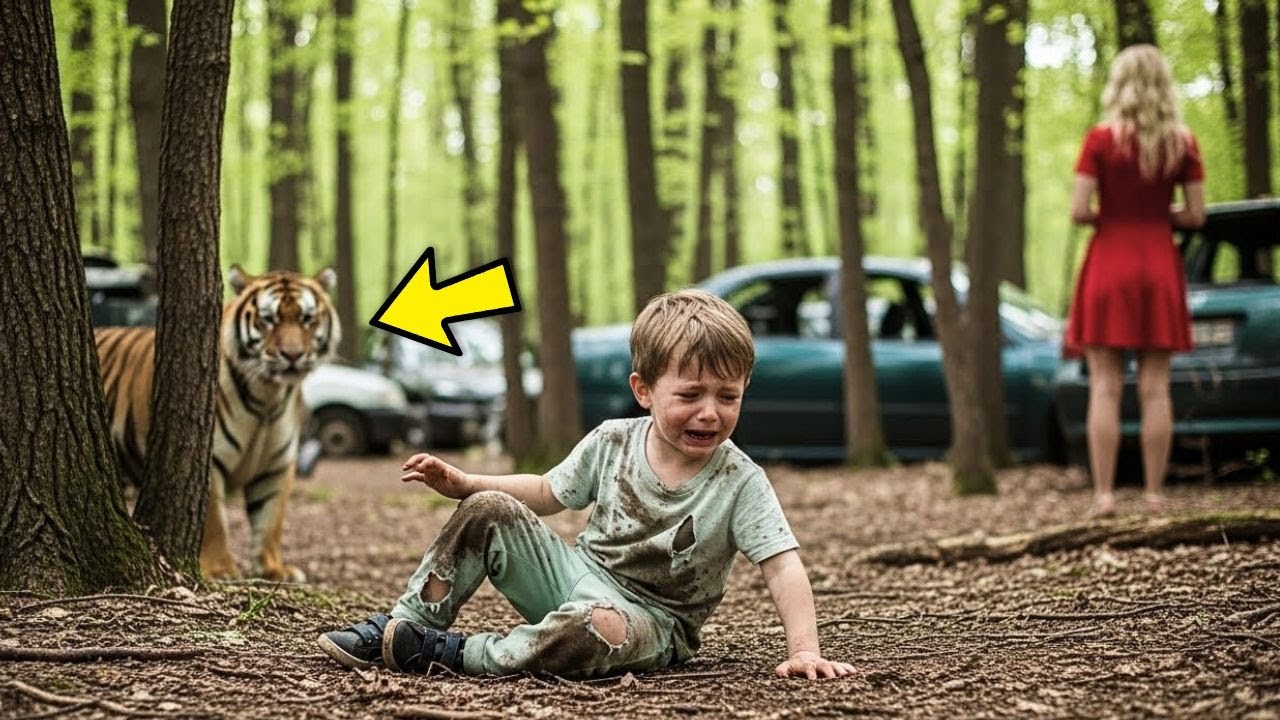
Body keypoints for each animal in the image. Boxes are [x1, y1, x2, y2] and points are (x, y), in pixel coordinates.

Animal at [95, 266, 340, 582]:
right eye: (268, 319)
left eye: (307, 319)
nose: (293, 355)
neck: (269, 396)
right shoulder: (209, 459)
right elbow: (214, 522)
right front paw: (222, 569)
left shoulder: (277, 466)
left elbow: (271, 521)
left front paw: (274, 569)